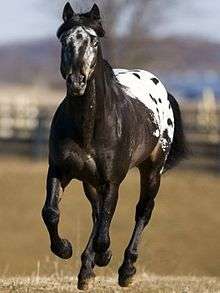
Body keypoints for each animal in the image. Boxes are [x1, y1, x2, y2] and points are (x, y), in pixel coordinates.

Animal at [41, 2, 187, 290]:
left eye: (94, 41)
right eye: (64, 40)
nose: (76, 81)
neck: (89, 127)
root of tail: (163, 90)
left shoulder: (112, 181)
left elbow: (104, 230)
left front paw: (104, 256)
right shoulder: (59, 171)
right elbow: (51, 213)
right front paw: (65, 248)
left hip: (152, 170)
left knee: (143, 211)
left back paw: (126, 270)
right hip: (90, 182)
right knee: (97, 214)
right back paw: (86, 271)